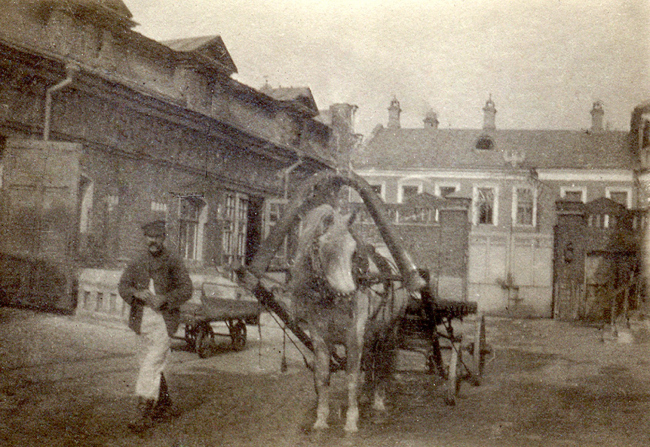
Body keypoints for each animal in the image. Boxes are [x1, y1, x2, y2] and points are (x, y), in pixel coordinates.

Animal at [288, 205, 404, 432]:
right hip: (370, 333)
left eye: (353, 250)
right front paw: (321, 419)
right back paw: (367, 393)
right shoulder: (319, 338)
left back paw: (378, 399)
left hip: (387, 331)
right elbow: (322, 377)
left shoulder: (353, 338)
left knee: (382, 362)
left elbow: (352, 376)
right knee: (370, 360)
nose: (352, 291)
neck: (331, 299)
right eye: (320, 248)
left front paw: (351, 421)